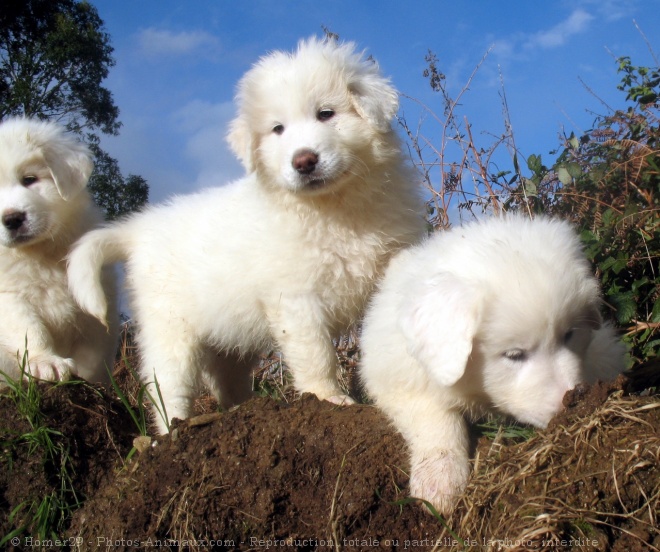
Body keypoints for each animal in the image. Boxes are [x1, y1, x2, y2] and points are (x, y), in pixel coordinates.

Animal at [0, 117, 117, 384]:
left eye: (29, 179)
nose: (12, 219)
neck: (39, 253)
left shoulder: (93, 307)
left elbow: (92, 358)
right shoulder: (8, 297)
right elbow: (30, 328)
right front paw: (45, 362)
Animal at [68, 38, 428, 436]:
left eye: (326, 114)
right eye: (278, 129)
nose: (303, 161)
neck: (333, 208)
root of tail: (138, 227)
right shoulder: (296, 298)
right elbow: (316, 352)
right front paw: (330, 398)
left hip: (226, 338)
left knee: (226, 381)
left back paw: (244, 411)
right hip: (168, 328)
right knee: (167, 387)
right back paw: (174, 430)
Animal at [358, 215, 628, 512]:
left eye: (569, 334)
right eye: (514, 355)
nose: (576, 399)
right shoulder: (395, 376)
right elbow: (434, 417)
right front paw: (439, 481)